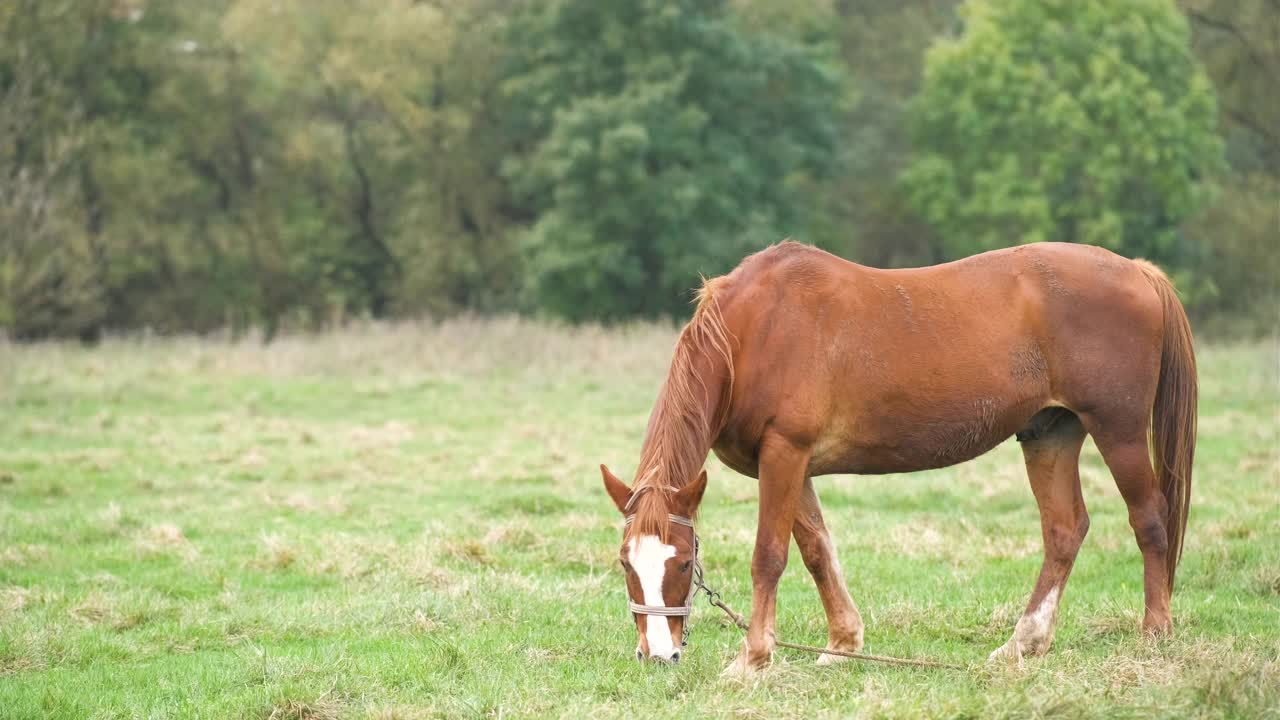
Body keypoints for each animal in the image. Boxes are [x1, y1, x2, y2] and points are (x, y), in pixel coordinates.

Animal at [604, 240, 1192, 671]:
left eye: (683, 562)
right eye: (626, 563)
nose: (658, 654)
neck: (753, 330)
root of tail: (1138, 272)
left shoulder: (785, 453)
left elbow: (770, 555)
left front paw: (753, 658)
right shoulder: (790, 463)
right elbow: (817, 550)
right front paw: (841, 644)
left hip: (1117, 430)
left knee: (1149, 519)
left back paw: (1155, 633)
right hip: (1051, 434)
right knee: (1065, 530)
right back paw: (1023, 643)